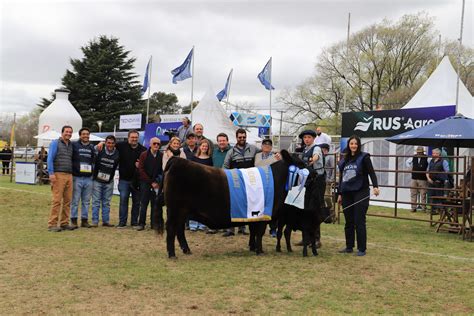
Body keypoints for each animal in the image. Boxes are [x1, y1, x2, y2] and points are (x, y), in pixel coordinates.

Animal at [156, 149, 302, 258]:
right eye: (301, 164)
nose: (310, 173)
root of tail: (177, 160)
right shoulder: (263, 214)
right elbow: (259, 232)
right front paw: (259, 251)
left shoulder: (254, 214)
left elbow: (254, 232)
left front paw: (252, 247)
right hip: (175, 210)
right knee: (172, 228)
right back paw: (172, 254)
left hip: (181, 212)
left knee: (179, 229)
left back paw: (186, 250)